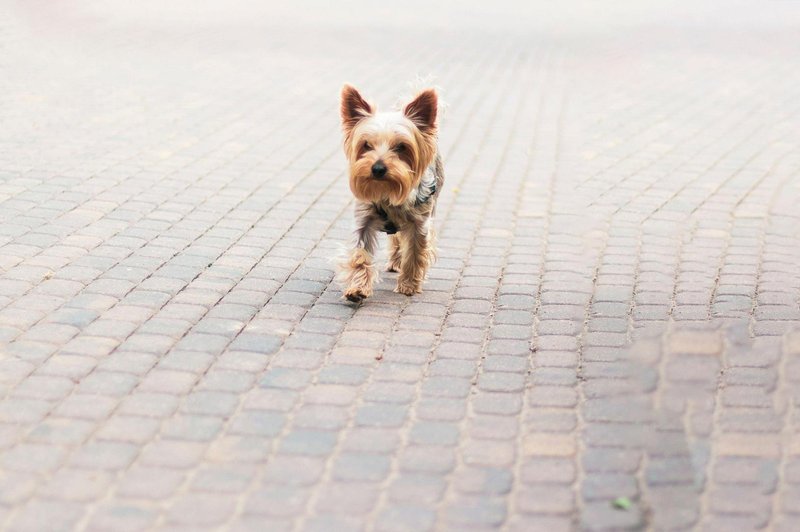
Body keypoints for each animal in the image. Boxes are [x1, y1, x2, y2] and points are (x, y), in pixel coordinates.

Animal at [338, 84, 444, 304]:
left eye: (401, 147)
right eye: (366, 145)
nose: (378, 168)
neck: (386, 192)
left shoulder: (419, 222)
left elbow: (415, 252)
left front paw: (409, 285)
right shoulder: (363, 219)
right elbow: (360, 253)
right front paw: (357, 288)